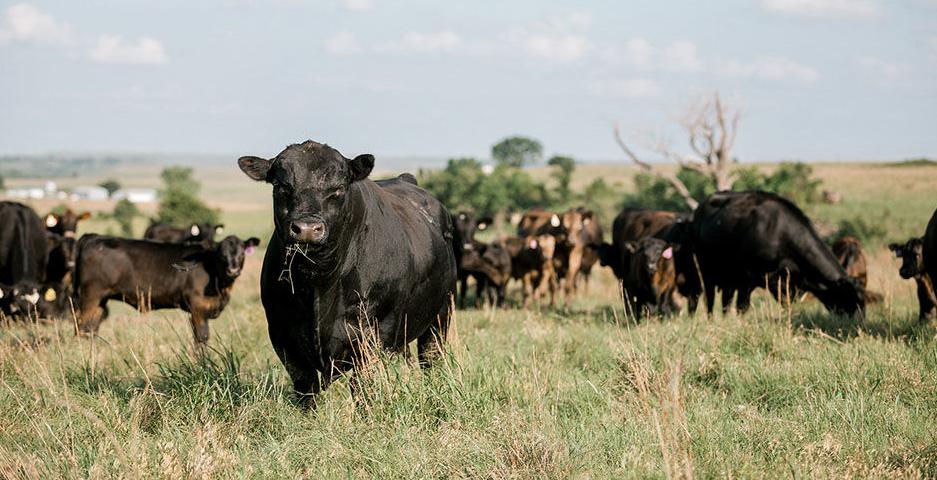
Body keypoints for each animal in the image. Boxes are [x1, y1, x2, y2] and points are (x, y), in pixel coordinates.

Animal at [73, 234, 260, 344]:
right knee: (81, 327)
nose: (233, 270)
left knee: (91, 329)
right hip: (90, 296)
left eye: (242, 253)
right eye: (222, 254)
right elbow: (201, 338)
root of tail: (94, 237)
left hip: (100, 301)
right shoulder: (198, 308)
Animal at [237, 140, 457, 403]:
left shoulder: (375, 332)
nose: (308, 228)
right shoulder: (282, 333)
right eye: (281, 186)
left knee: (431, 358)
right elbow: (306, 387)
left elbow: (362, 386)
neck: (319, 281)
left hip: (440, 314)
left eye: (339, 188)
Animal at [688, 191, 864, 316]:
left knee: (725, 301)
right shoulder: (748, 279)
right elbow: (742, 307)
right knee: (709, 300)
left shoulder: (787, 286)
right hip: (706, 272)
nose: (857, 322)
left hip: (729, 278)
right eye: (848, 297)